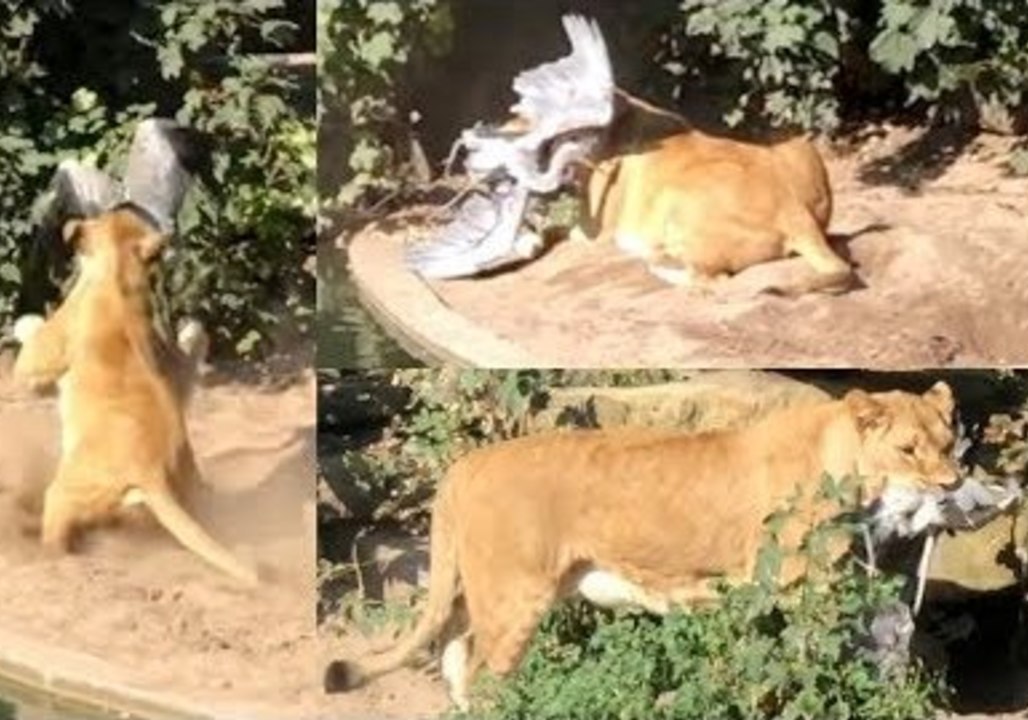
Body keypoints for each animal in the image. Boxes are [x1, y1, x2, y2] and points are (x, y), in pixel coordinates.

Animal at [12, 205, 258, 586]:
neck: (119, 276)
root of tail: (152, 474)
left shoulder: (40, 356)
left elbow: (28, 334)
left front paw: (25, 325)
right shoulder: (173, 365)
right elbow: (193, 345)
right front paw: (191, 331)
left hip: (63, 493)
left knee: (57, 544)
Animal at [325, 382, 959, 708]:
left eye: (949, 443)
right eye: (908, 449)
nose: (952, 486)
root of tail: (465, 465)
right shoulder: (802, 584)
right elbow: (813, 658)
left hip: (480, 588)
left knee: (454, 650)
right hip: (513, 595)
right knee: (482, 676)